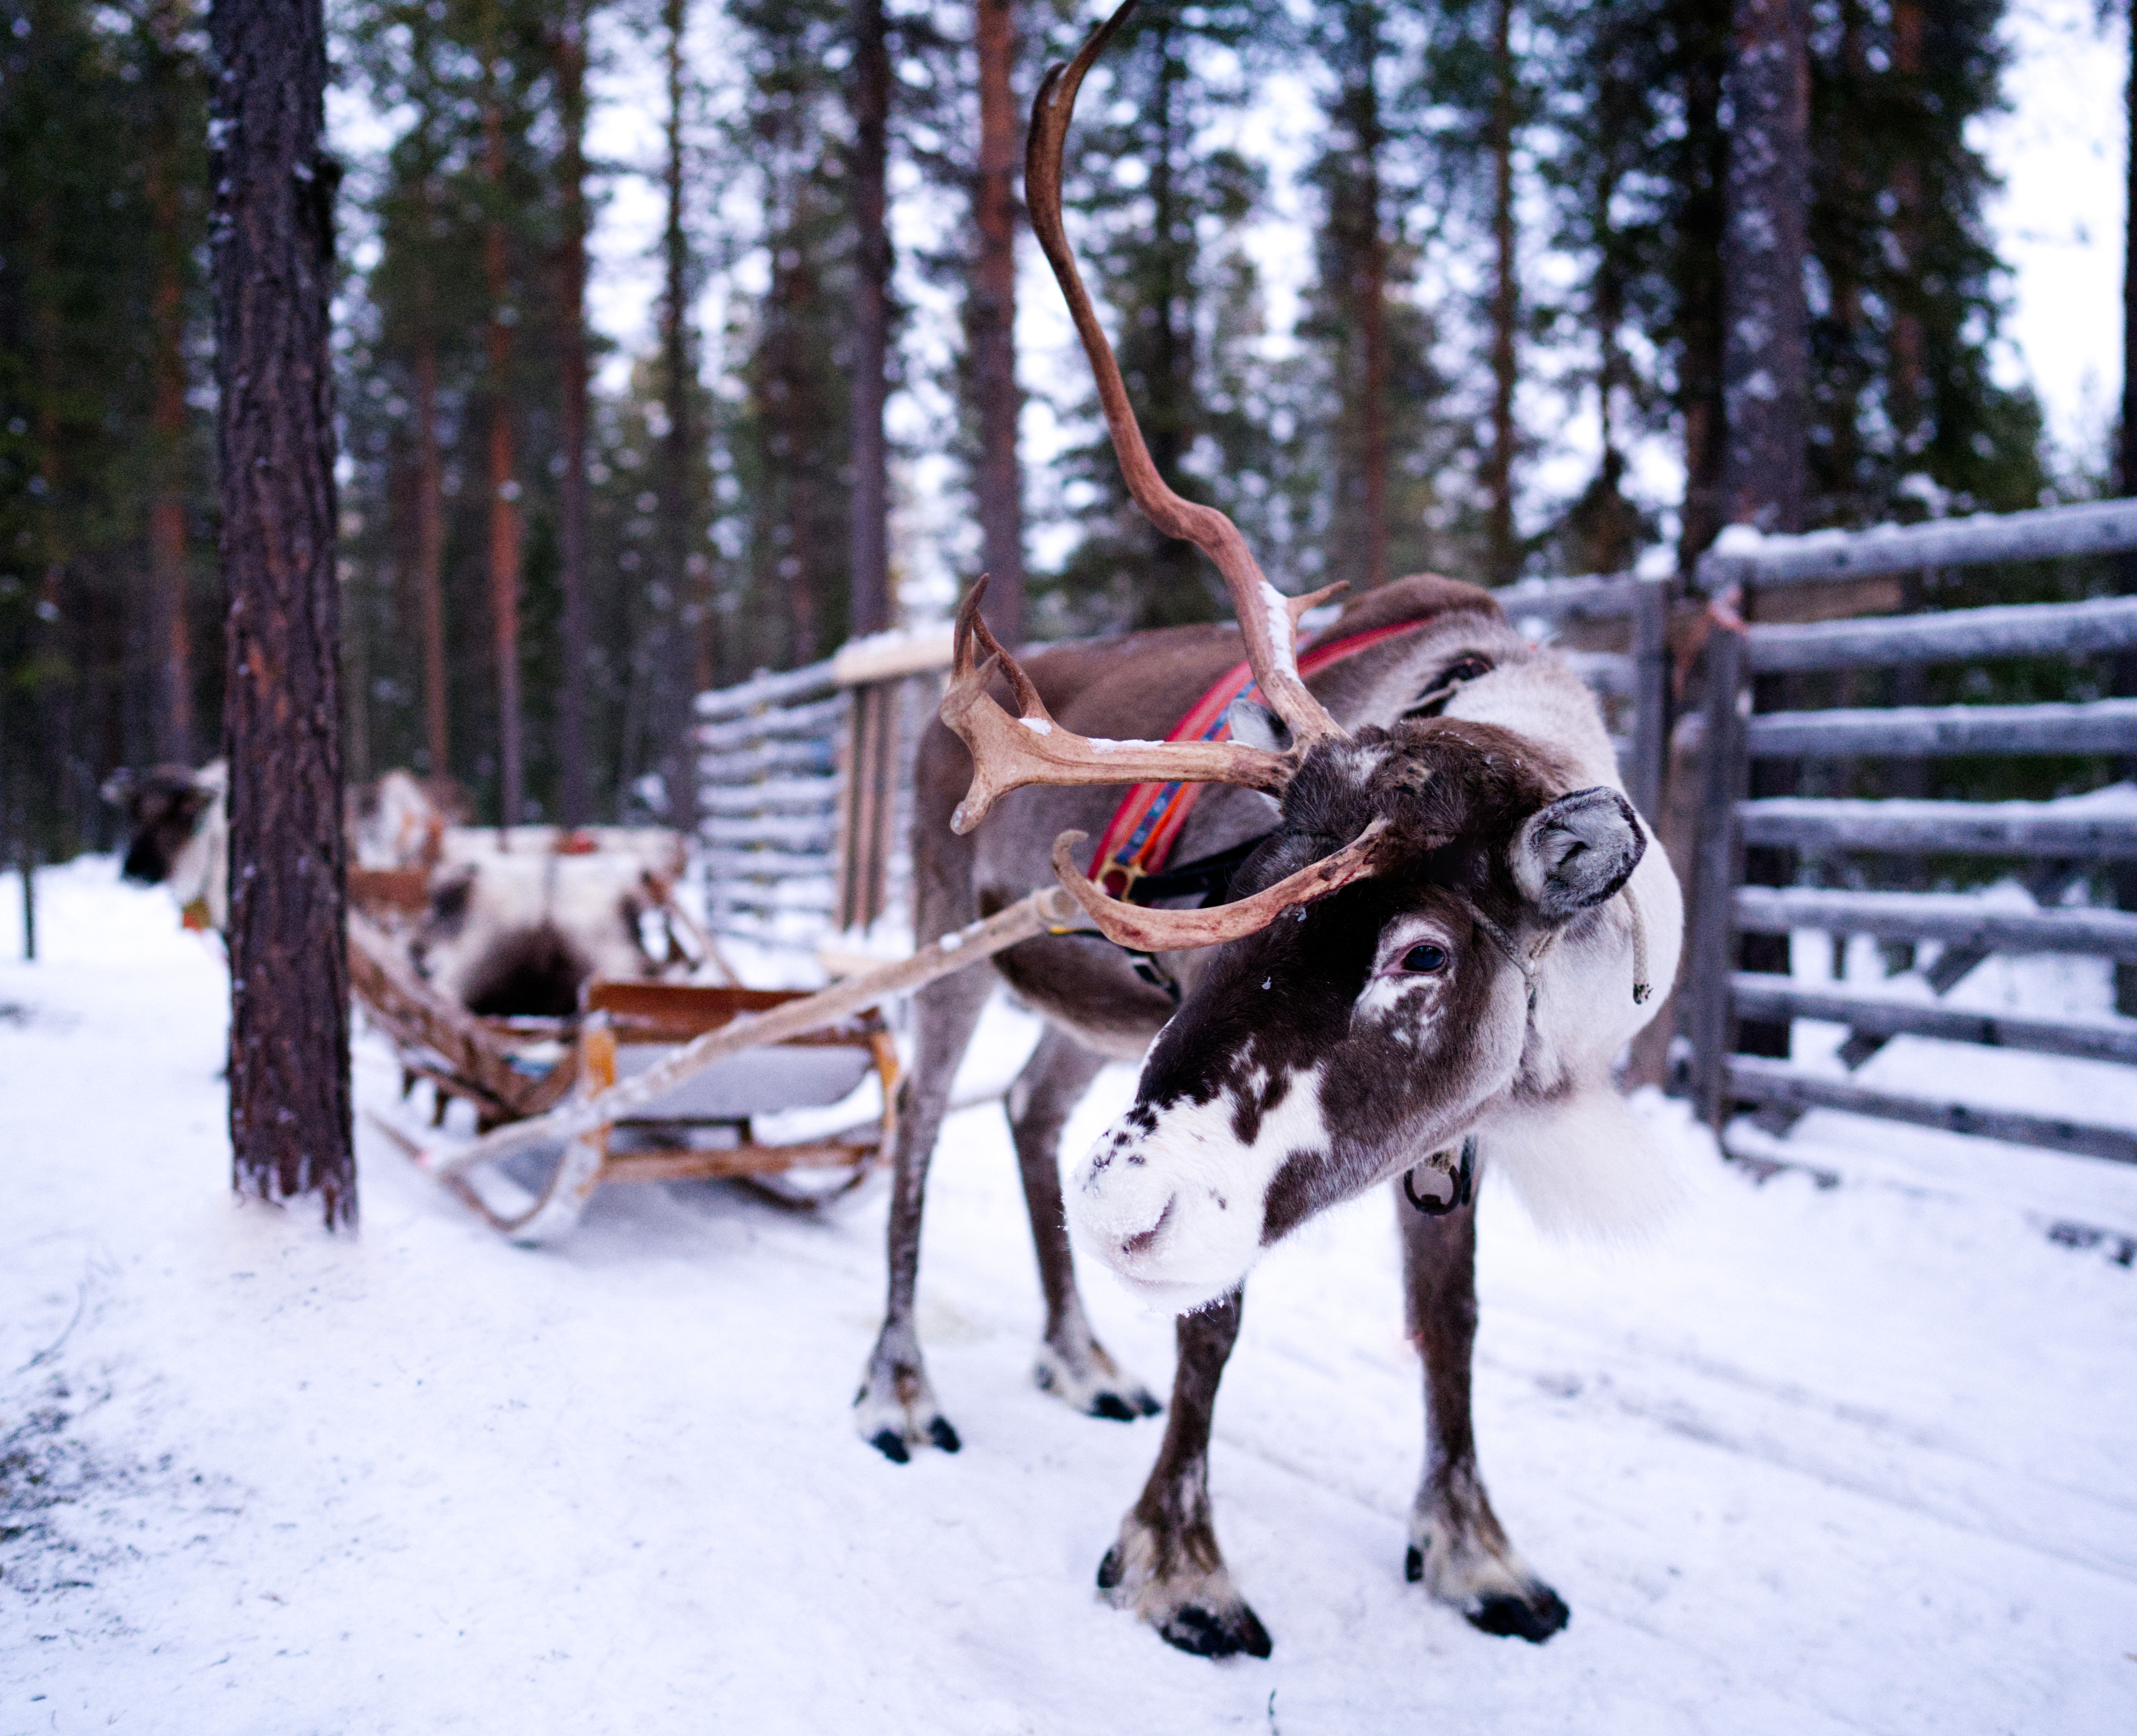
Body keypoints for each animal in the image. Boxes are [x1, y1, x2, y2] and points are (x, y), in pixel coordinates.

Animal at [853, 0, 1683, 1660]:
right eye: (1239, 902)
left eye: (1420, 954)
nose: (1132, 1204)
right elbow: (1217, 1319)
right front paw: (1177, 1563)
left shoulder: (1450, 1125)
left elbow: (1450, 1320)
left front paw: (1475, 1551)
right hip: (946, 931)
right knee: (917, 1125)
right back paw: (900, 1389)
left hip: (1072, 1014)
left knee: (1028, 1115)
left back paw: (1075, 1353)